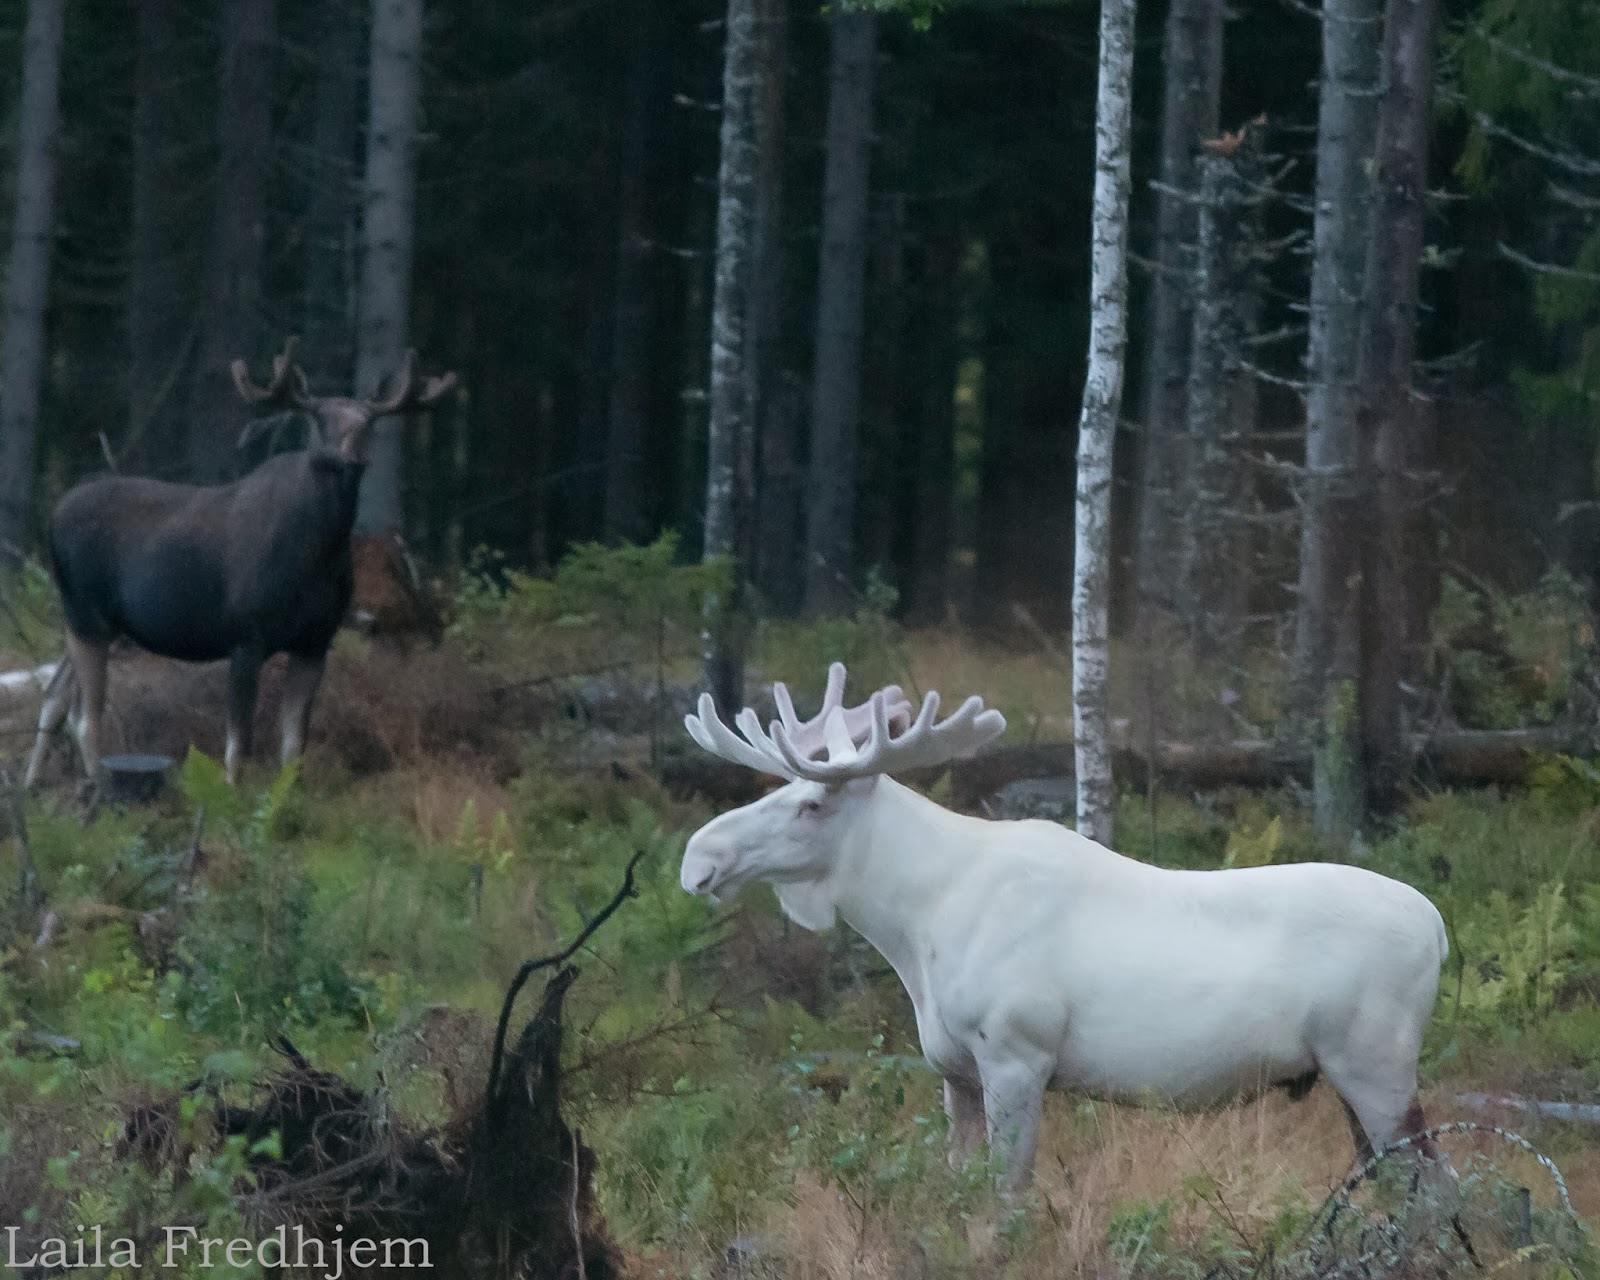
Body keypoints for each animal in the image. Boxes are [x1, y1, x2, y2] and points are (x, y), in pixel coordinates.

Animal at [25, 334, 457, 784]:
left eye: (368, 424)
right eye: (321, 421)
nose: (350, 459)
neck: (318, 553)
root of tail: (55, 512)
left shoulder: (315, 641)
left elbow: (293, 746)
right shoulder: (246, 637)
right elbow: (238, 746)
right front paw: (234, 797)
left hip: (98, 622)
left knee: (55, 694)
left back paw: (33, 782)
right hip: (85, 613)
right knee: (84, 715)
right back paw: (92, 787)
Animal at [675, 665, 1452, 1184]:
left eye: (811, 803)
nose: (698, 858)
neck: (914, 932)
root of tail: (1440, 929)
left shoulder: (1018, 1054)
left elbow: (1005, 1201)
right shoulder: (955, 1070)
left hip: (1376, 1063)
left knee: (1438, 1188)